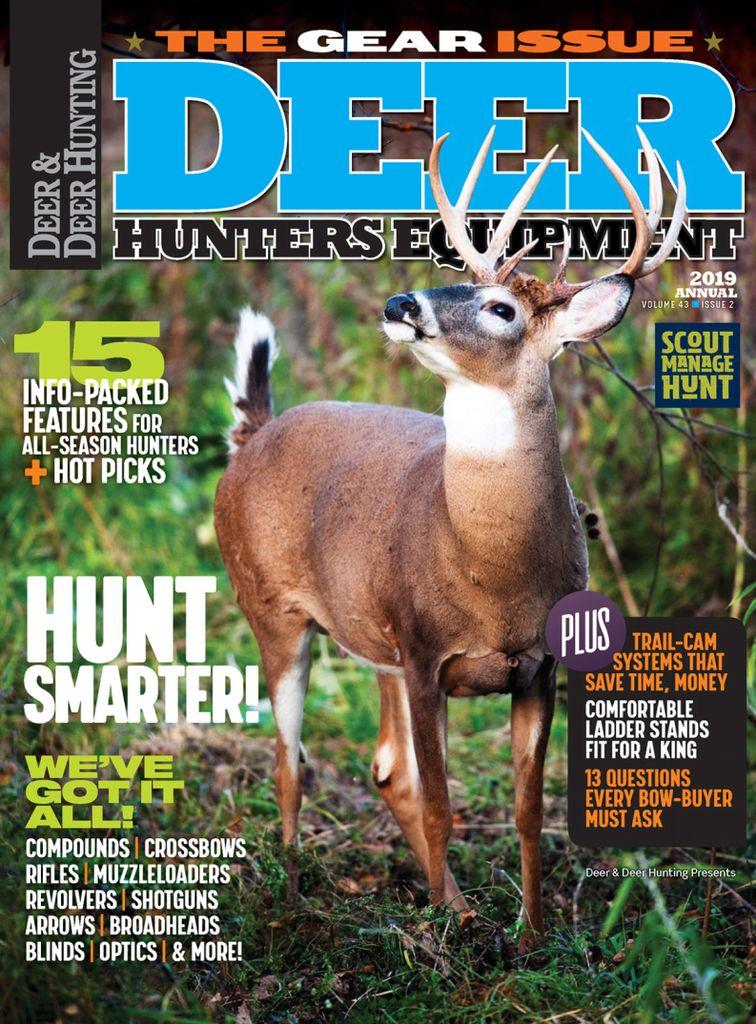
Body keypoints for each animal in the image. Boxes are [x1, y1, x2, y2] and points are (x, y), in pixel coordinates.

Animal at [214, 125, 685, 951]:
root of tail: (253, 434)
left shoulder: (535, 669)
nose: (401, 302)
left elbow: (526, 812)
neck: (489, 574)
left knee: (383, 766)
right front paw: (441, 942)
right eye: (454, 280)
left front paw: (529, 937)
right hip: (272, 610)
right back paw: (303, 897)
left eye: (499, 307)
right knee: (290, 762)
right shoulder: (426, 652)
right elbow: (441, 802)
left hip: (373, 640)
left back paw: (453, 903)